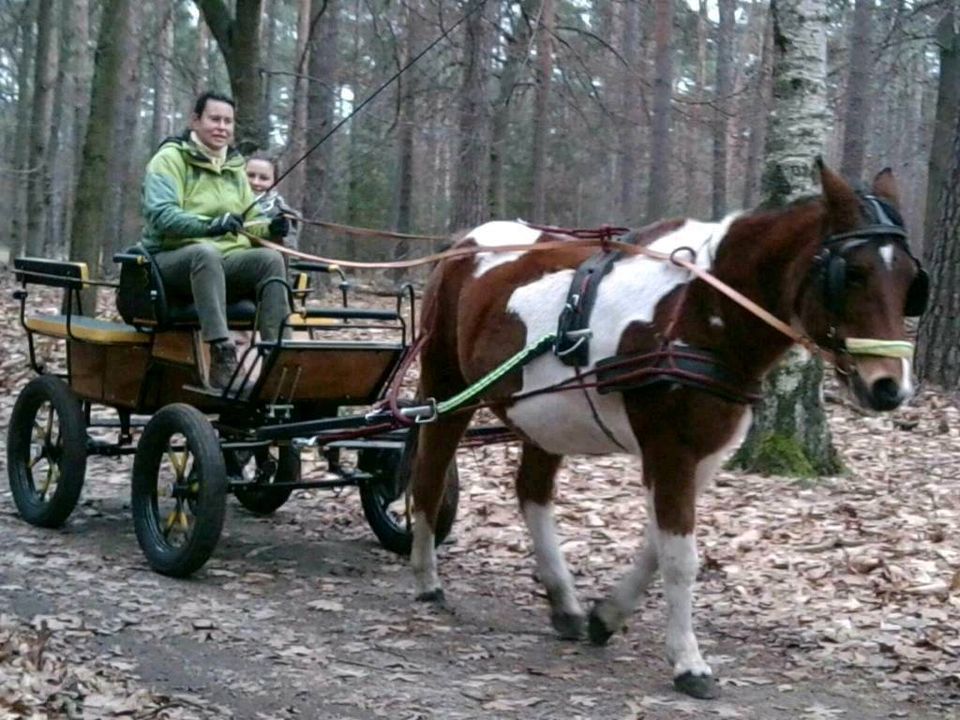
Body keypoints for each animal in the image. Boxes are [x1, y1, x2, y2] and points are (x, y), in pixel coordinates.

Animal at [408, 162, 928, 696]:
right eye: (853, 274)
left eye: (911, 280)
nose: (890, 387)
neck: (700, 309)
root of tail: (462, 243)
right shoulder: (669, 447)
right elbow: (680, 558)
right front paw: (688, 661)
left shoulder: (703, 455)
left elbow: (658, 545)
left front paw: (607, 616)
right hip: (445, 387)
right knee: (429, 475)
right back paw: (427, 578)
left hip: (545, 416)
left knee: (532, 492)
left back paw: (564, 602)